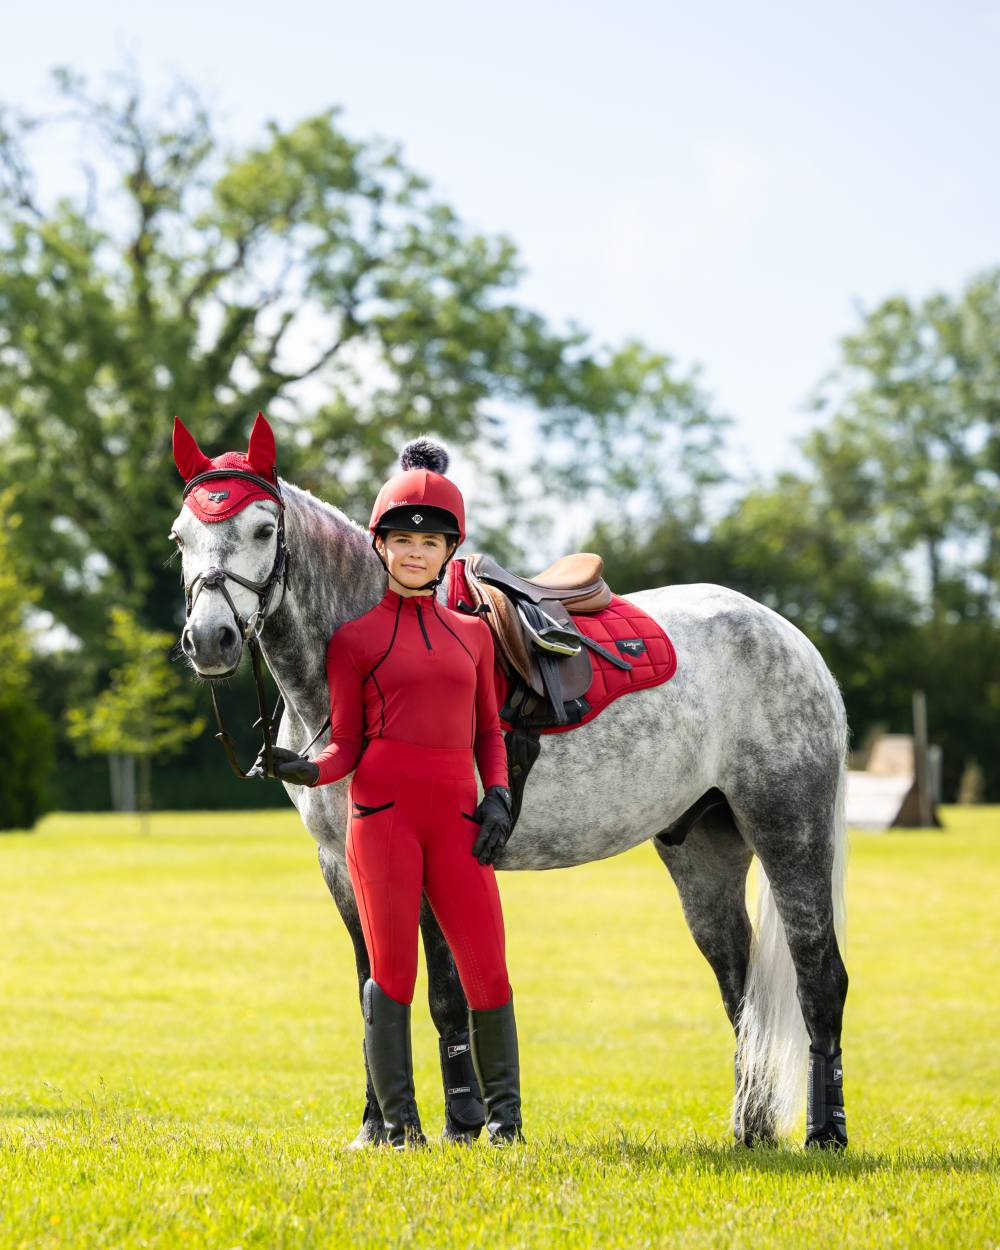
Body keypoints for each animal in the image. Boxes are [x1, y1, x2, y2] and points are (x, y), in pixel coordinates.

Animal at [172, 472, 850, 1145]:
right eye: (180, 536)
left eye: (264, 529)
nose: (210, 639)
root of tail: (794, 640)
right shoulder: (343, 864)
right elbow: (373, 986)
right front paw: (378, 1130)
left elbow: (446, 993)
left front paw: (459, 1126)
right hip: (703, 850)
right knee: (741, 987)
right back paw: (752, 1129)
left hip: (789, 831)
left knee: (820, 976)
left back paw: (825, 1133)